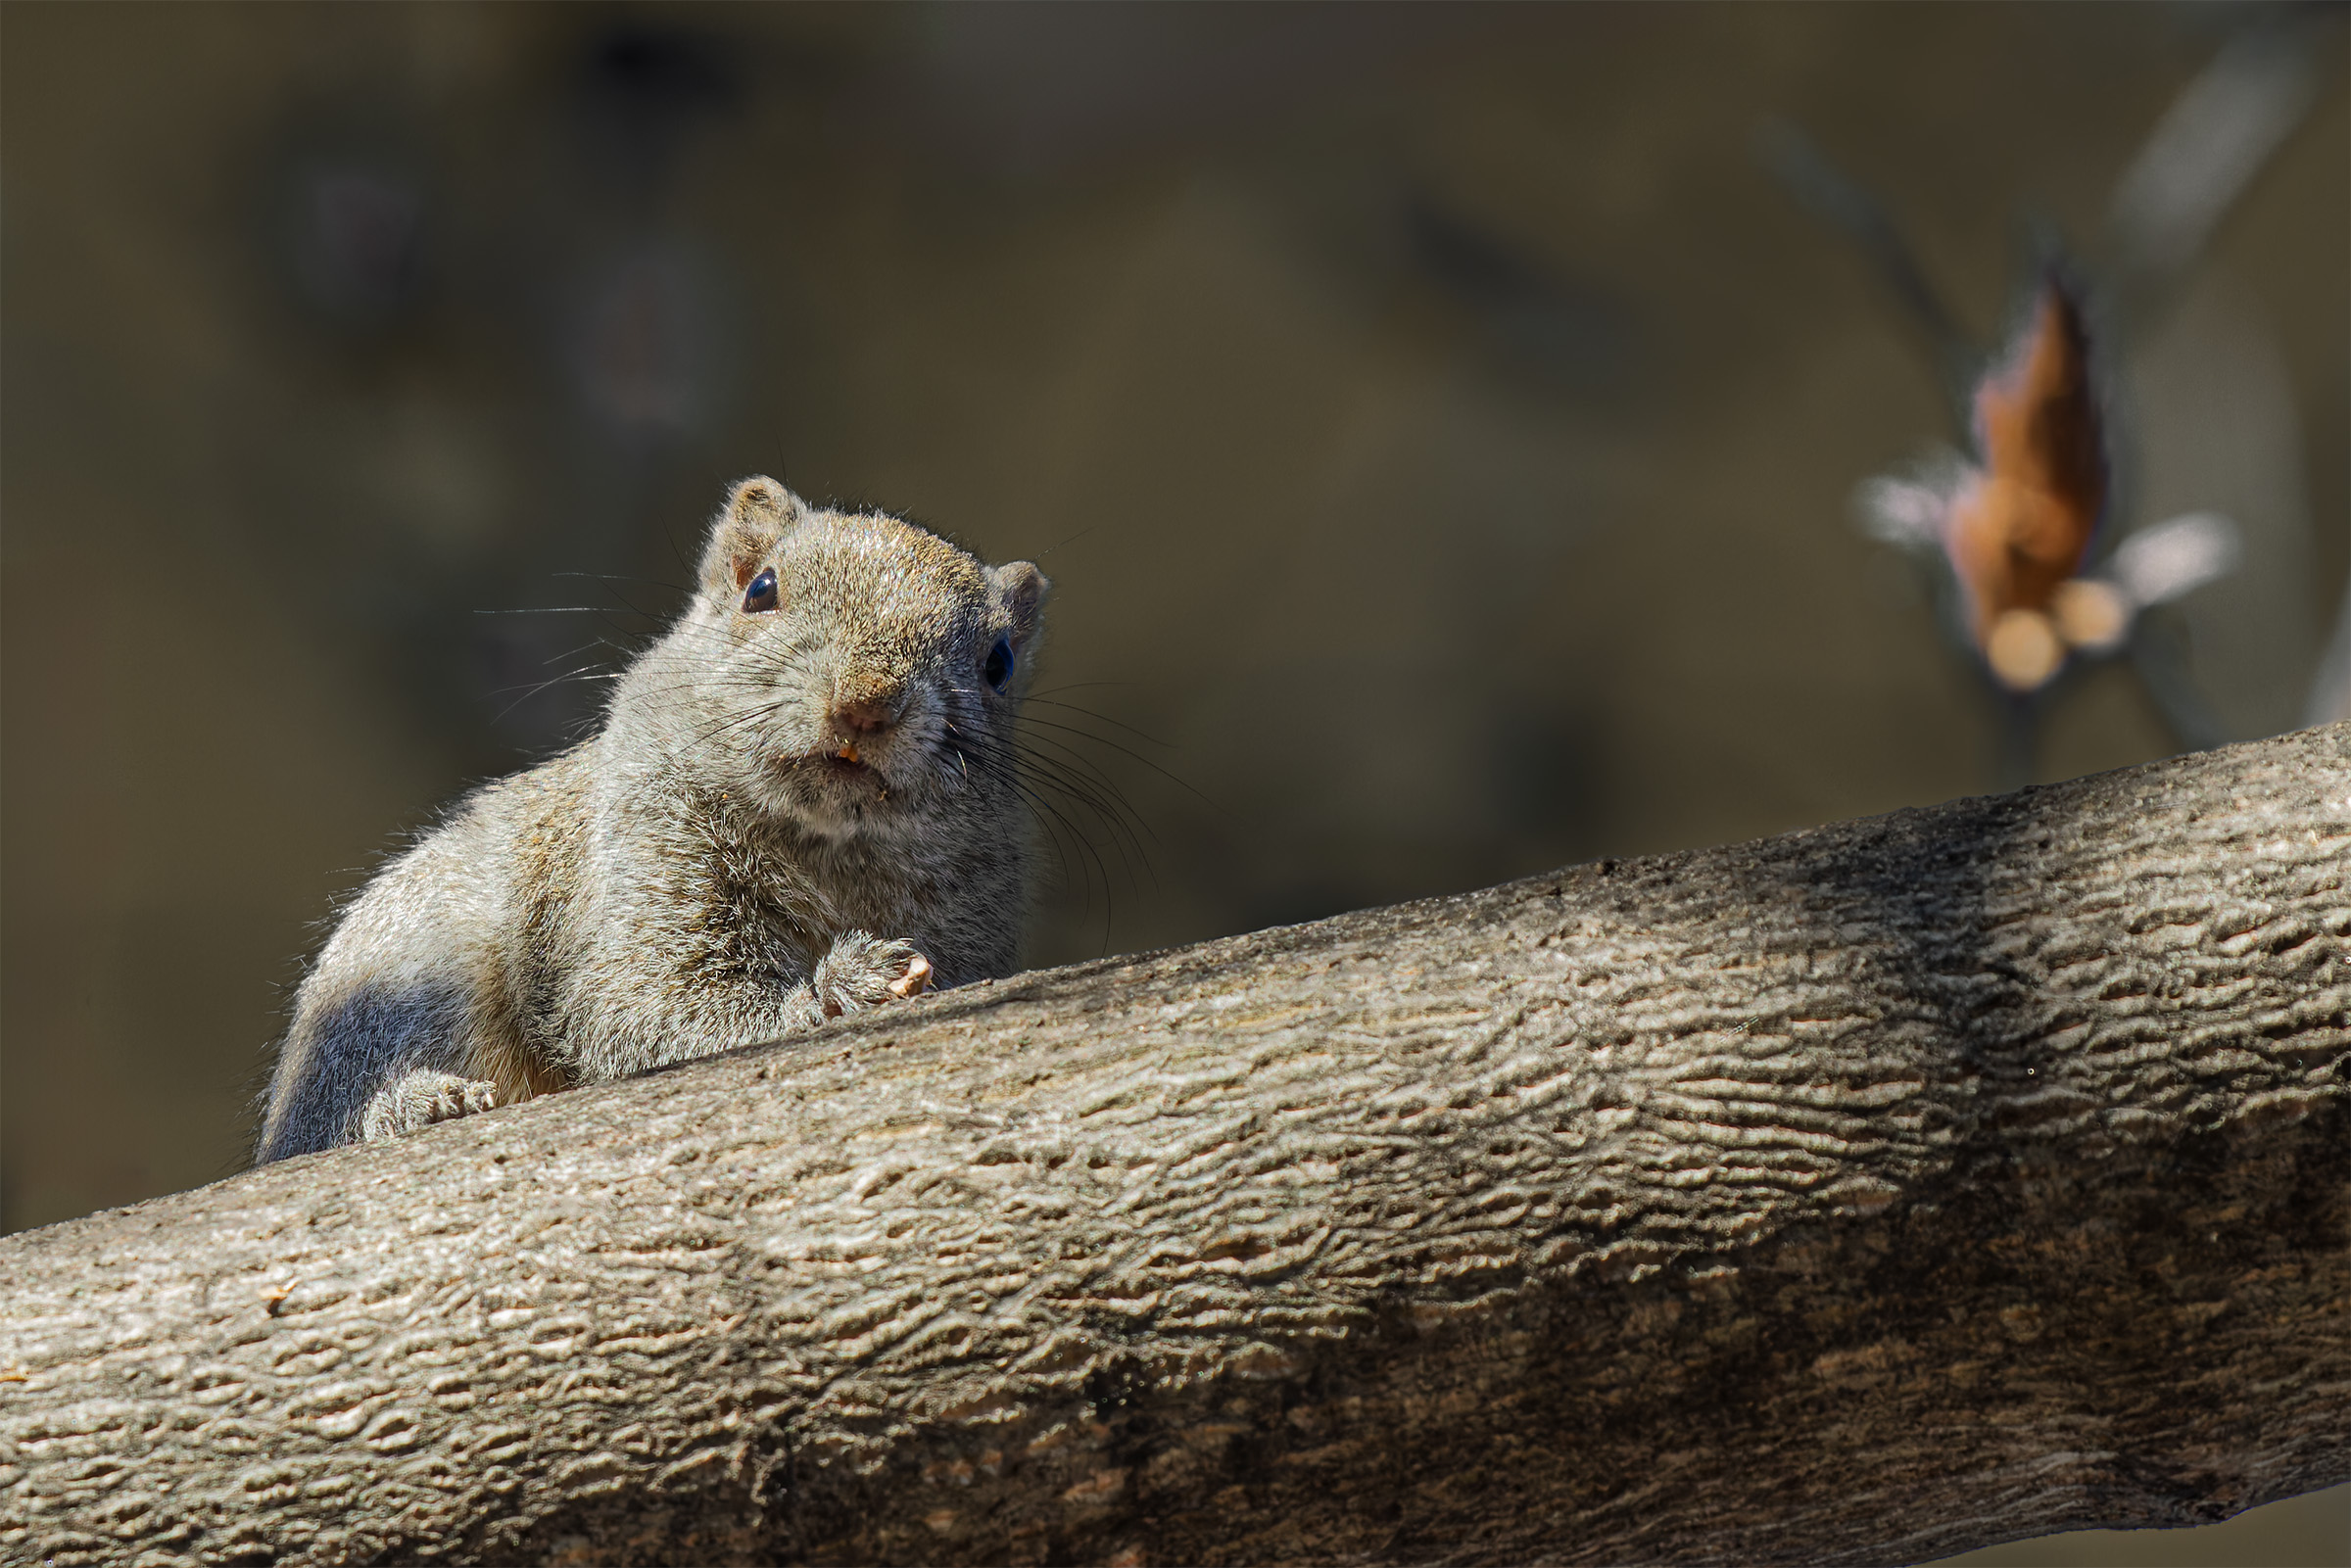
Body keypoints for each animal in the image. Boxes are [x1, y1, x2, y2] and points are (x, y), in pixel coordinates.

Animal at [256, 476, 1048, 1163]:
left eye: (999, 663)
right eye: (761, 589)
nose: (866, 703)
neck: (830, 851)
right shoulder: (638, 879)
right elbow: (651, 1012)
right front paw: (842, 990)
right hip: (402, 982)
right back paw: (414, 1106)